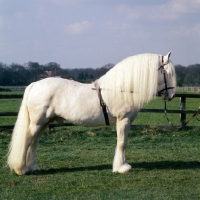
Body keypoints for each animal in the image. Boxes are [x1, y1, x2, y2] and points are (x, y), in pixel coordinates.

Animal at [7, 52, 177, 175]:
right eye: (166, 72)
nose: (171, 95)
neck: (122, 89)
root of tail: (35, 85)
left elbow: (121, 143)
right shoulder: (123, 120)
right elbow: (122, 143)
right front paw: (122, 168)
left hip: (44, 123)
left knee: (34, 143)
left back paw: (33, 167)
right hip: (37, 123)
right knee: (27, 141)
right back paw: (21, 169)